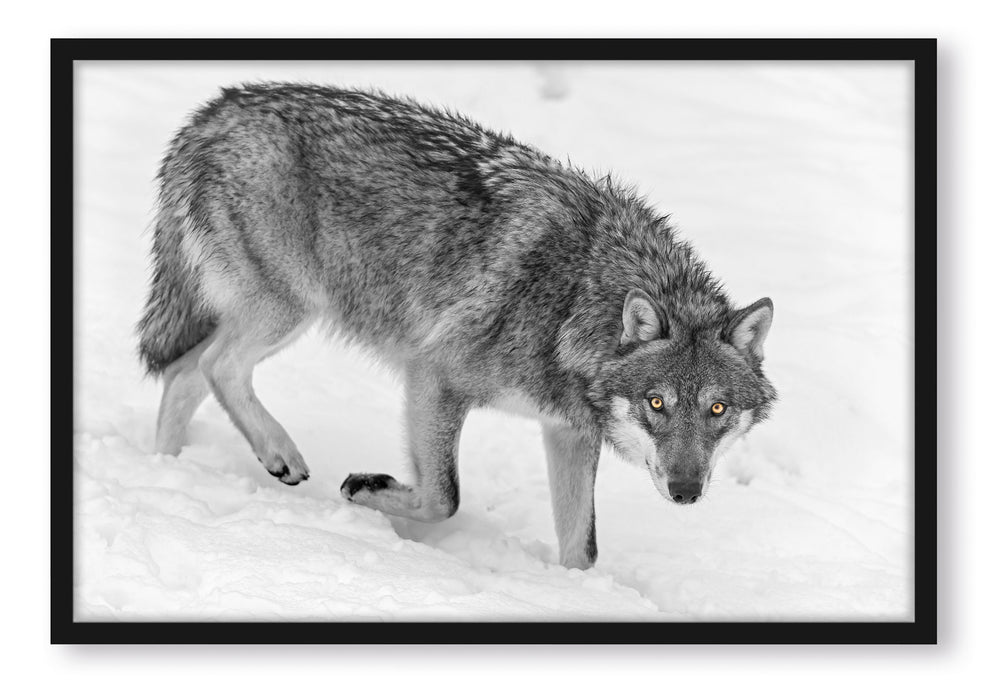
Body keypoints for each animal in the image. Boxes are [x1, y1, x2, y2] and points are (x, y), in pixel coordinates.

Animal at [138, 83, 776, 570]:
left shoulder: (567, 432)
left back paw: (163, 472)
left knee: (184, 373)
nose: (686, 492)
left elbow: (583, 549)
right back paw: (276, 453)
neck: (576, 299)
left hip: (278, 316)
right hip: (288, 310)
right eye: (657, 403)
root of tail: (215, 108)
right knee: (214, 366)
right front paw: (366, 491)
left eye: (717, 409)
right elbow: (445, 497)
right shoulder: (434, 375)